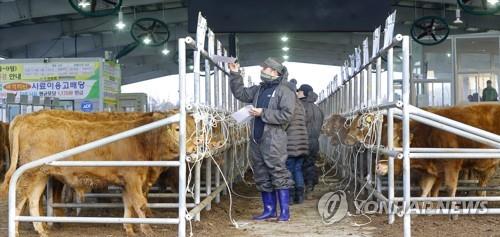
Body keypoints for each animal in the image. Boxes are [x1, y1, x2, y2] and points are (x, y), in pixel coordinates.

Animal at [2, 111, 199, 237]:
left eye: (195, 128)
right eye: (178, 129)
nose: (193, 147)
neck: (143, 140)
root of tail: (25, 117)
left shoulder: (126, 182)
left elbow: (129, 205)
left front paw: (129, 229)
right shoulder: (133, 179)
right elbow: (140, 204)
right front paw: (148, 230)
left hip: (41, 174)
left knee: (33, 198)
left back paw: (41, 229)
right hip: (29, 172)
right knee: (19, 196)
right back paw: (17, 230)